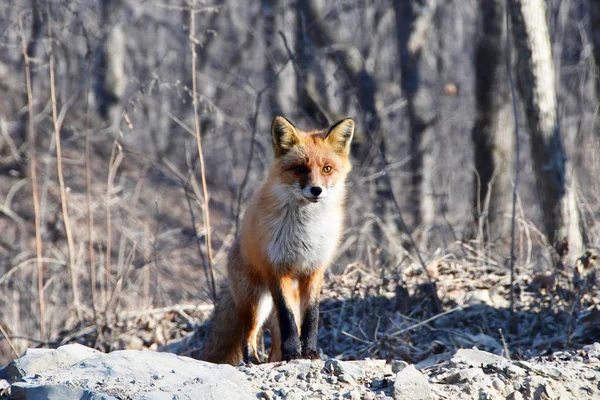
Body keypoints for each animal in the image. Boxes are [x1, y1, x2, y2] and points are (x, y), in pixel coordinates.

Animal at [199, 116, 354, 366]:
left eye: (327, 169)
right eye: (300, 168)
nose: (316, 190)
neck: (306, 231)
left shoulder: (314, 269)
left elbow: (312, 316)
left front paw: (309, 352)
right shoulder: (278, 268)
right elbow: (287, 318)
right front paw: (293, 353)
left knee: (274, 346)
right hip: (256, 302)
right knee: (249, 334)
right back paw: (253, 360)